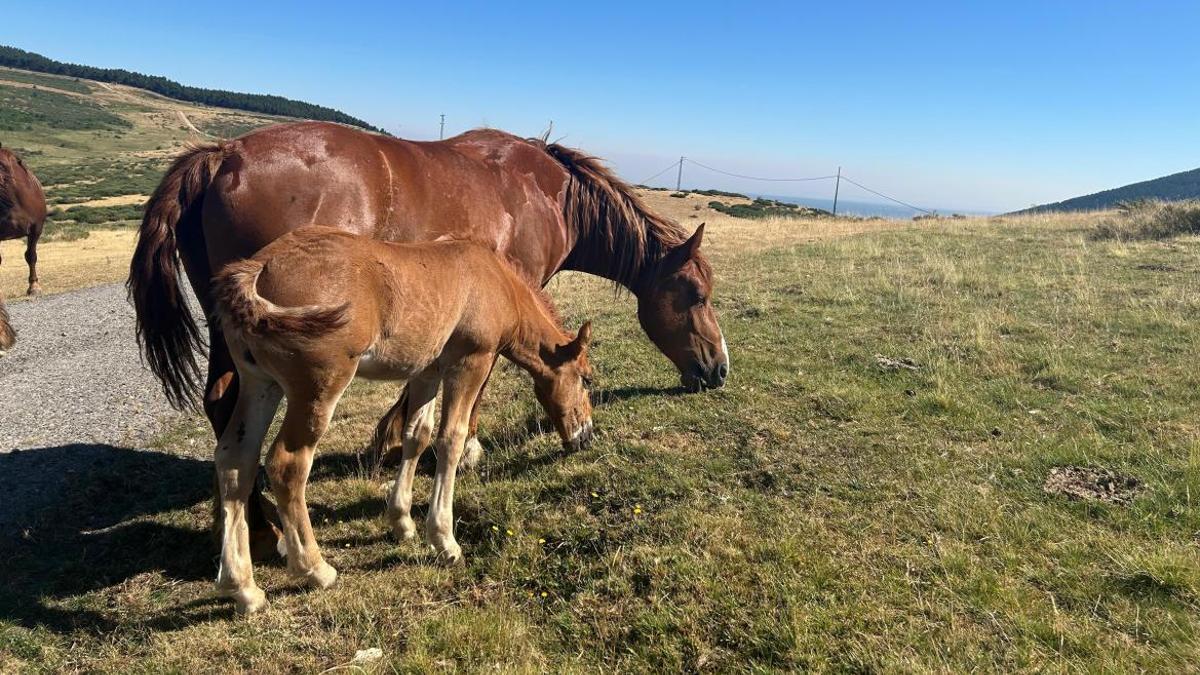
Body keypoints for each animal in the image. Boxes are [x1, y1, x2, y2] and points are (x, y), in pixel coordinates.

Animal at [129, 121, 726, 558]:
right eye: (696, 293)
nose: (719, 369)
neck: (546, 192)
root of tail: (222, 155)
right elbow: (472, 399)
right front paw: (463, 454)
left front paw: (395, 445)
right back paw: (265, 532)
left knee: (223, 411)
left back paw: (245, 528)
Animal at [211, 226, 594, 614]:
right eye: (587, 379)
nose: (585, 437)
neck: (495, 280)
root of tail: (259, 267)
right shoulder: (470, 362)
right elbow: (451, 439)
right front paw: (444, 540)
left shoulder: (427, 371)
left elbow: (417, 435)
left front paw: (402, 522)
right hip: (318, 387)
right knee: (287, 464)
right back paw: (315, 569)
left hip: (260, 384)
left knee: (235, 460)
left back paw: (243, 588)